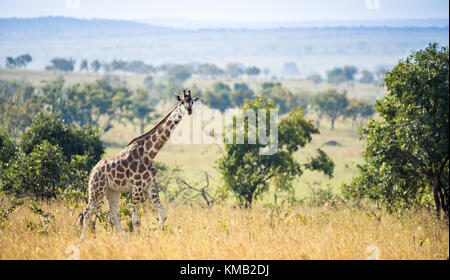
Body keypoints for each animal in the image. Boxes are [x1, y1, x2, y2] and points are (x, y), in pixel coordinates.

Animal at [79, 89, 200, 238]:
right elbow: (135, 219)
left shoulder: (149, 186)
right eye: (182, 101)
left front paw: (157, 236)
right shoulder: (137, 186)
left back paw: (124, 238)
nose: (189, 110)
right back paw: (82, 239)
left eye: (192, 101)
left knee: (113, 215)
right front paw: (137, 239)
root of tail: (92, 171)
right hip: (97, 189)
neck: (150, 153)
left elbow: (163, 214)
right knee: (87, 213)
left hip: (112, 191)